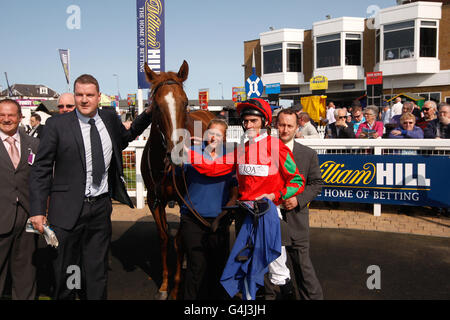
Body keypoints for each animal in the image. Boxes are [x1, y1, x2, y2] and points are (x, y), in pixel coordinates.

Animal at [142, 60, 216, 300]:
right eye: (156, 106)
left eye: (184, 103)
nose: (178, 153)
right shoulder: (154, 200)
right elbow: (164, 238)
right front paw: (165, 285)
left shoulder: (185, 200)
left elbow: (179, 241)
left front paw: (175, 288)